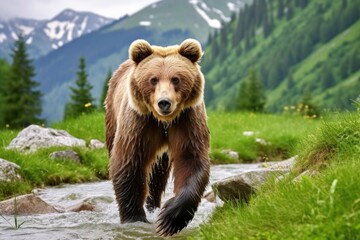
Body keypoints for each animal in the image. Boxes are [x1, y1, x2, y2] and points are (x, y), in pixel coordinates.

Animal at [104, 38, 210, 235]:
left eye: (176, 79)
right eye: (153, 79)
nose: (164, 102)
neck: (164, 122)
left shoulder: (187, 120)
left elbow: (191, 160)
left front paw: (168, 220)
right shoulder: (139, 123)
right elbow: (128, 162)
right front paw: (134, 218)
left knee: (158, 174)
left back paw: (153, 205)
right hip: (113, 116)